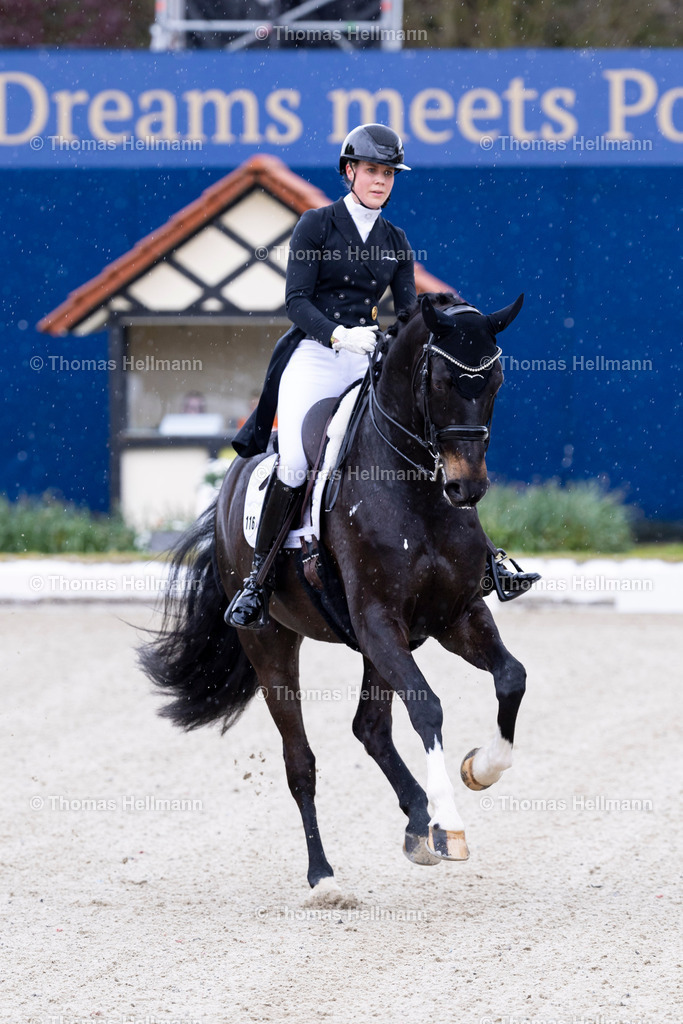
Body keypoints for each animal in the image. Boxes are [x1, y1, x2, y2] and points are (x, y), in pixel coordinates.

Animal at [139, 291, 528, 896]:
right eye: (442, 380)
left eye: (496, 381)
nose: (467, 488)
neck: (416, 491)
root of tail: (231, 480)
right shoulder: (378, 619)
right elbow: (428, 708)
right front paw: (451, 825)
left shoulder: (454, 616)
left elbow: (511, 677)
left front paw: (478, 771)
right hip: (272, 644)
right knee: (300, 759)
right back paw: (323, 874)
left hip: (380, 645)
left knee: (369, 729)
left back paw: (416, 822)